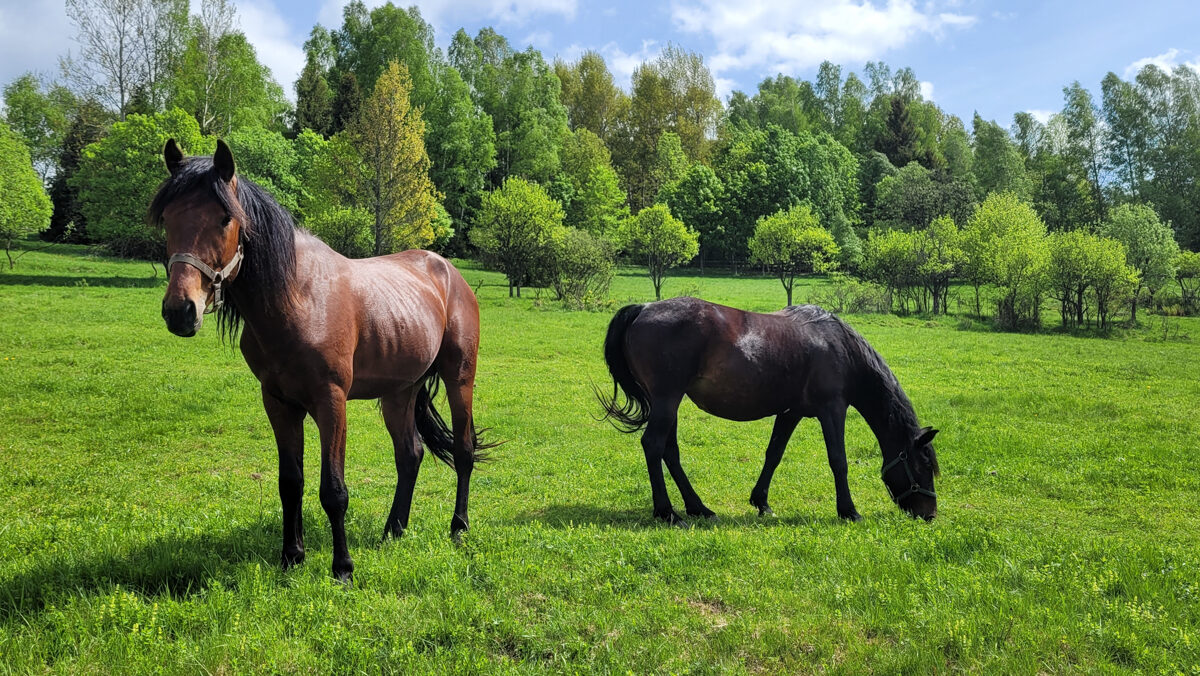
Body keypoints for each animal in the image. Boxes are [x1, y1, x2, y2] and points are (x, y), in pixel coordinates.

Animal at [152, 138, 489, 581]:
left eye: (225, 218)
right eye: (168, 218)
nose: (180, 311)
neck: (297, 298)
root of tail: (450, 272)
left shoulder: (331, 402)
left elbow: (333, 490)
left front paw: (342, 567)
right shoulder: (279, 403)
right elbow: (290, 482)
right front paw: (291, 556)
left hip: (458, 377)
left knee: (464, 450)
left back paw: (459, 527)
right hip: (400, 392)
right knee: (410, 455)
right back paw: (393, 530)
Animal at [600, 298, 936, 525]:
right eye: (923, 466)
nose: (930, 514)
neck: (838, 346)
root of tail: (644, 308)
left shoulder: (791, 412)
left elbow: (774, 454)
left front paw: (761, 502)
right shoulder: (832, 409)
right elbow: (838, 461)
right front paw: (849, 510)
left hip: (669, 403)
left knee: (670, 451)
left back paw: (699, 508)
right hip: (667, 400)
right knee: (653, 445)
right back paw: (667, 512)